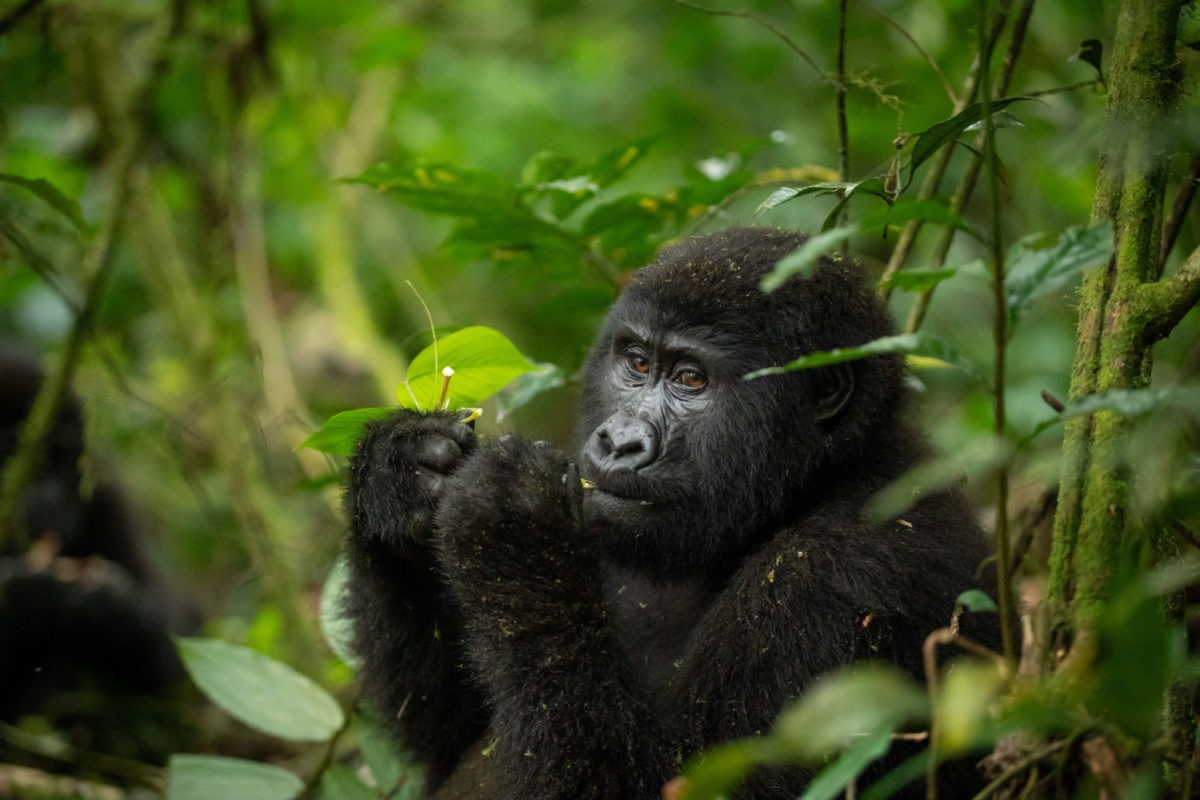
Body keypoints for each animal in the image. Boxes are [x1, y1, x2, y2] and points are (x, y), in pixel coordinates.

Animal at [0, 352, 194, 762]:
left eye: (61, 457)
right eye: (13, 456)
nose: (52, 502)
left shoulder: (105, 495)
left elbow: (178, 655)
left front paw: (116, 611)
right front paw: (23, 599)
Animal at [343, 226, 998, 800]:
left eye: (691, 379)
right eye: (636, 364)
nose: (619, 443)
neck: (819, 480)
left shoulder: (843, 576)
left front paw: (511, 528)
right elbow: (454, 735)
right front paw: (399, 474)